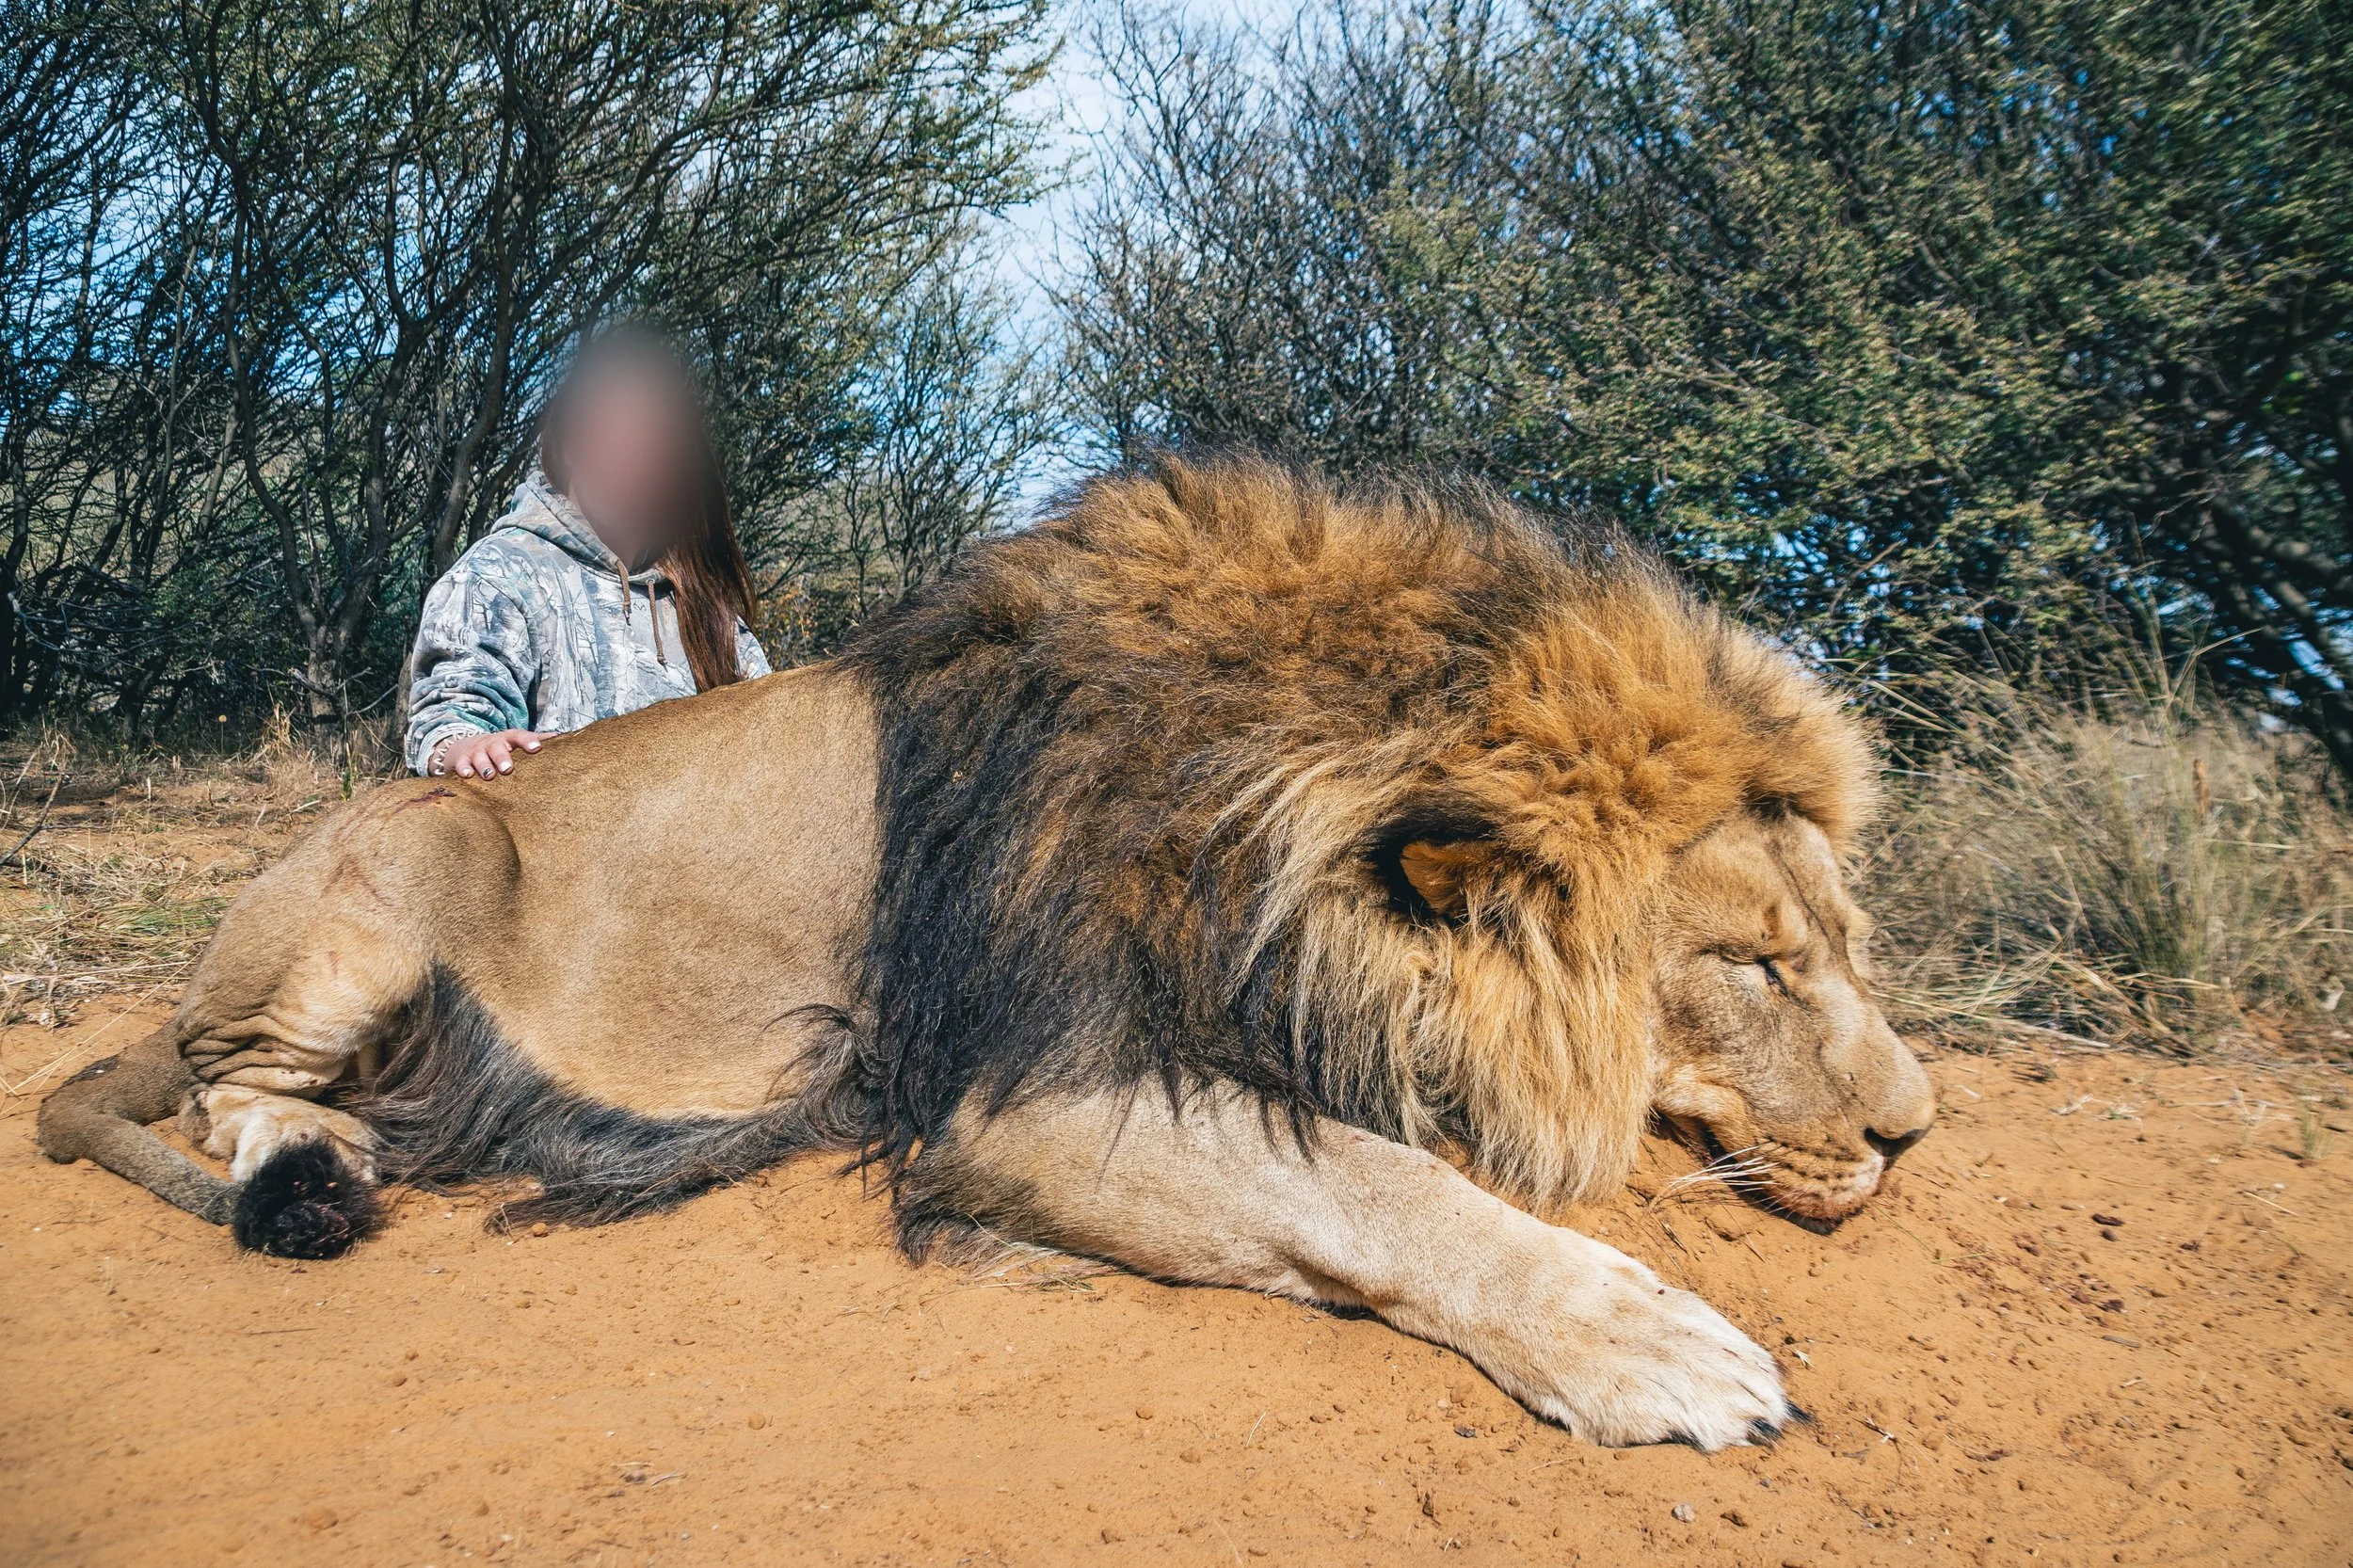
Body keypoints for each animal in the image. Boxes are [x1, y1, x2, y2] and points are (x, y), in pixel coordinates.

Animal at [39, 456, 1933, 1449]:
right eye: (1754, 965)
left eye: (1840, 942)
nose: (1914, 1135)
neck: (1273, 815)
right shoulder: (1028, 1093)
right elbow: (1374, 1187)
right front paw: (1653, 1344)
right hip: (397, 876)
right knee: (225, 1090)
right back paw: (308, 1184)